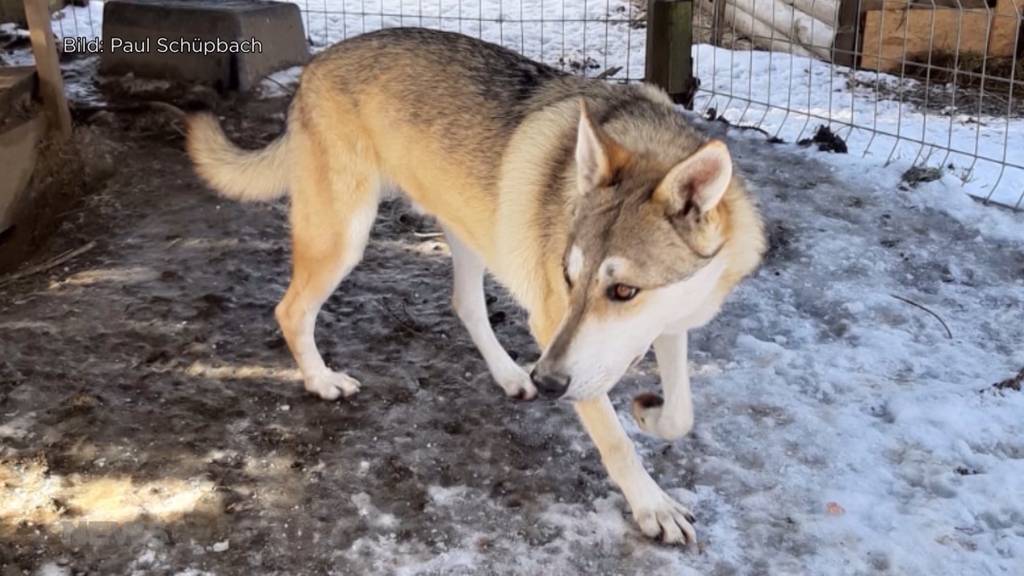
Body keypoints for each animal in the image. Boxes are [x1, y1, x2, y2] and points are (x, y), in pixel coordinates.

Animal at [186, 25, 761, 541]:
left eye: (623, 292)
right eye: (568, 277)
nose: (548, 383)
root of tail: (313, 67)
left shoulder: (671, 323)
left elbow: (681, 413)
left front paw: (649, 414)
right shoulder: (553, 326)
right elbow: (616, 442)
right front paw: (652, 506)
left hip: (467, 235)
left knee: (464, 304)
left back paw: (511, 376)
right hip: (344, 240)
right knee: (290, 311)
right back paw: (322, 381)